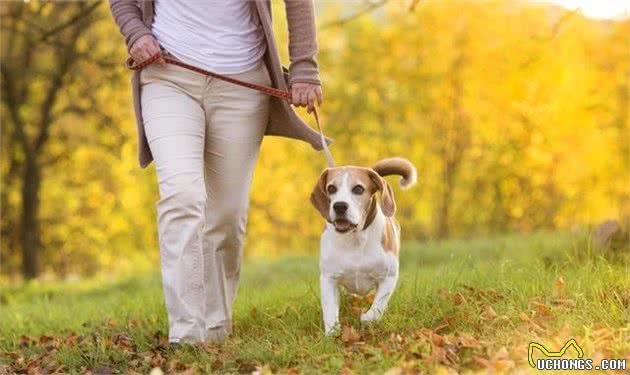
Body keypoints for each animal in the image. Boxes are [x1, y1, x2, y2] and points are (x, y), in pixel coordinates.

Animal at [312, 156, 420, 334]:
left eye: (358, 189)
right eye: (331, 188)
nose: (339, 206)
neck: (355, 239)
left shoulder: (389, 277)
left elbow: (379, 304)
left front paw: (368, 317)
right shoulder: (329, 278)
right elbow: (329, 310)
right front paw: (332, 333)